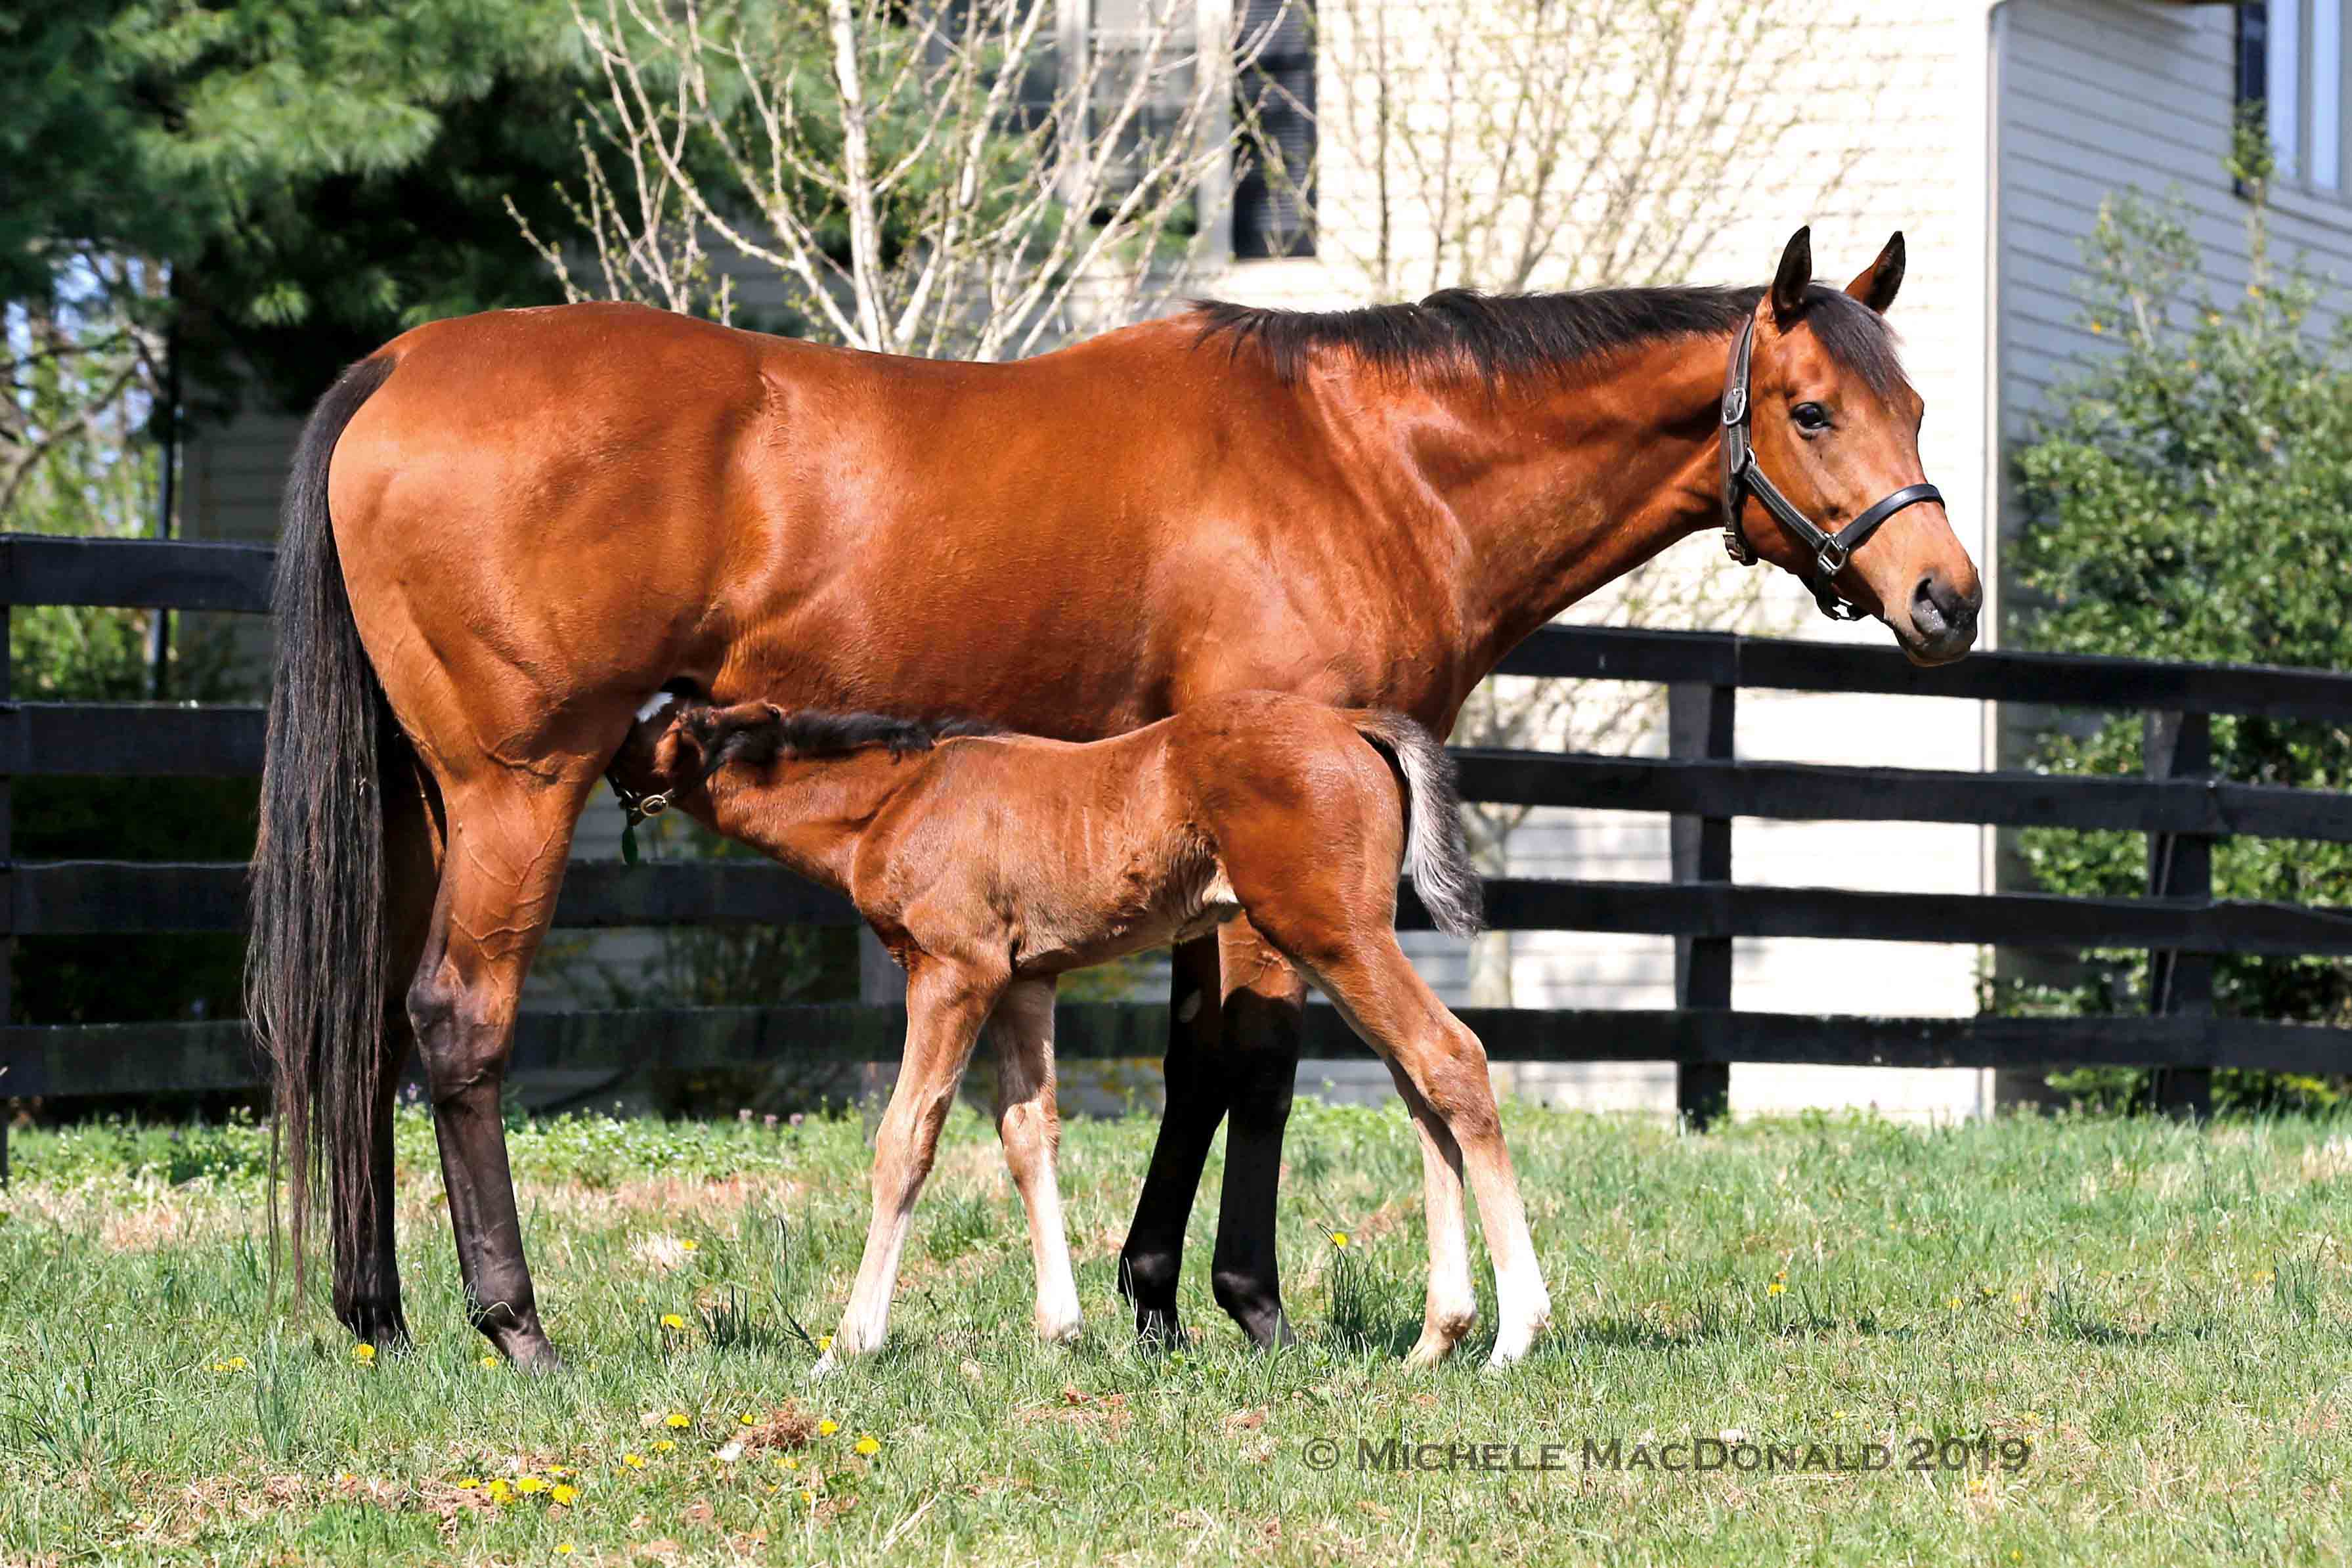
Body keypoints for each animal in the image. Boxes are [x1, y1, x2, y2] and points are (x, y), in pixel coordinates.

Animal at [616, 691, 1552, 1363]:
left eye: (645, 728)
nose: (601, 768)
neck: (897, 800)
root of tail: (1352, 723)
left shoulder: (952, 973)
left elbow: (906, 1139)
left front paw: (846, 1346)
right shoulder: (1025, 982)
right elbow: (1028, 1133)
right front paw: (1059, 1331)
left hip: (1332, 932)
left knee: (1450, 1056)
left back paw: (1514, 1334)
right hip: (1333, 943)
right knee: (1418, 1086)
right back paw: (1438, 1337)